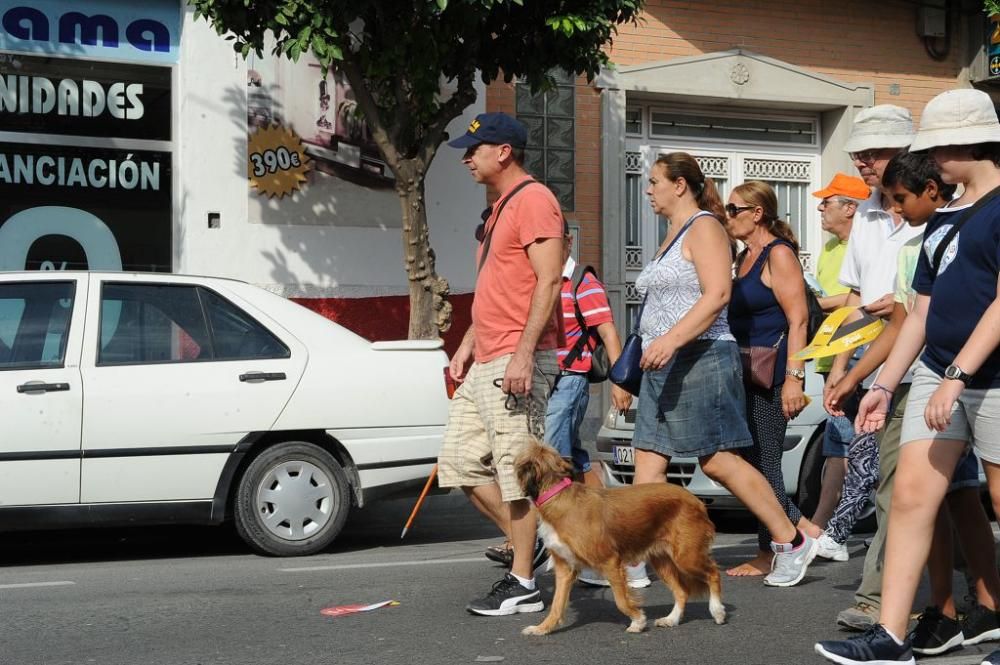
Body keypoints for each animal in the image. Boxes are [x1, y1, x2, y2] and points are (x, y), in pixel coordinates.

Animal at [516, 440, 720, 632]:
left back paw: (717, 610)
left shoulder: (610, 562)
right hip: (662, 560)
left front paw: (638, 621)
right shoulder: (564, 567)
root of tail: (697, 501)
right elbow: (557, 605)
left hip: (686, 557)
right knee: (682, 591)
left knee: (713, 573)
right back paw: (672, 619)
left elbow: (621, 600)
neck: (556, 495)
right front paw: (542, 628)